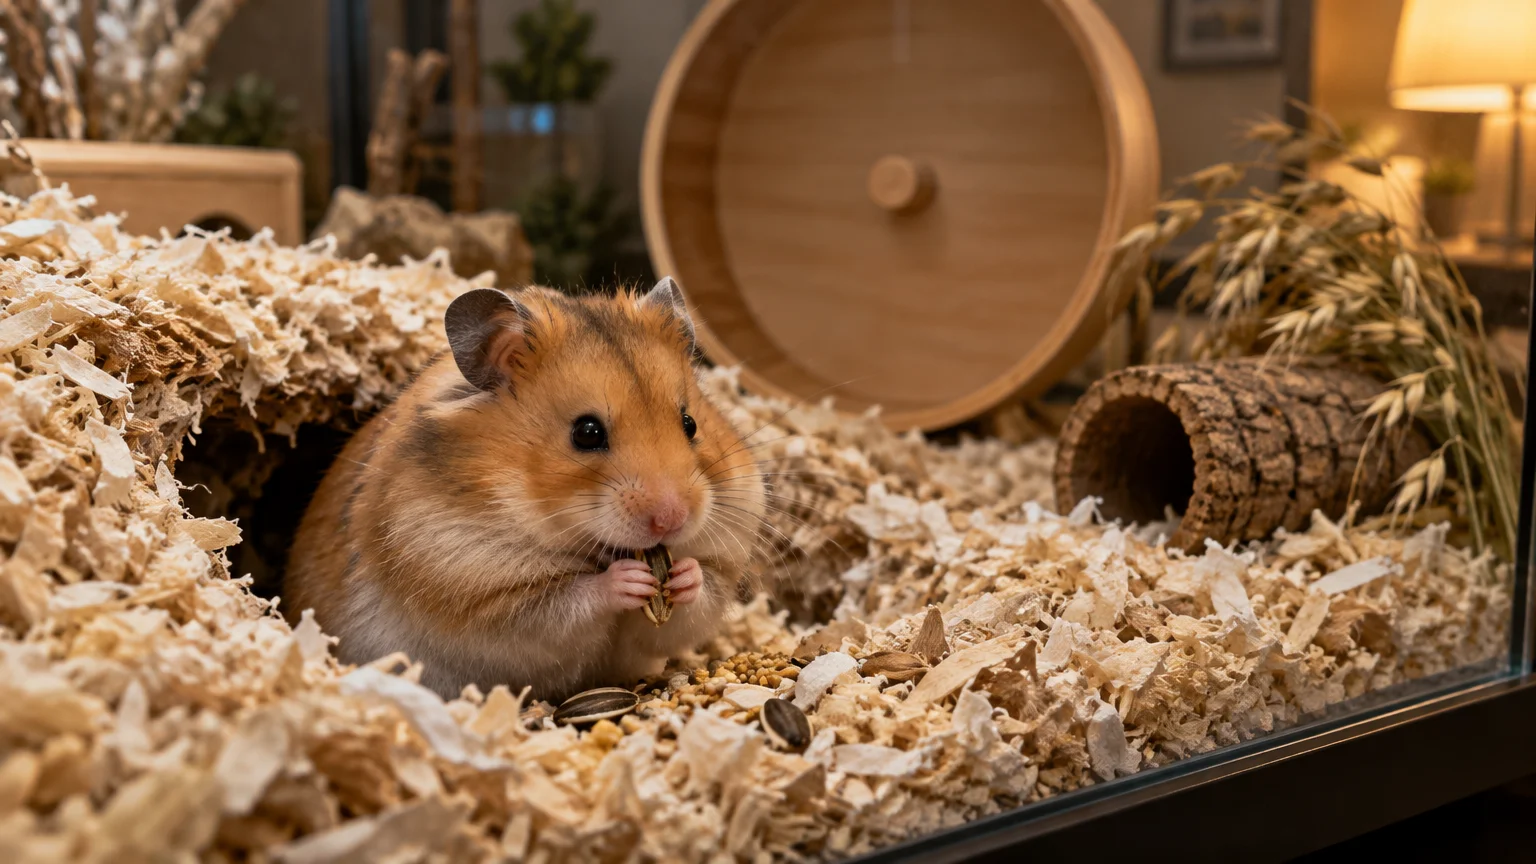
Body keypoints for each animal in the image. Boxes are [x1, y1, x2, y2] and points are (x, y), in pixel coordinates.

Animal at [283, 278, 767, 700]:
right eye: (586, 432)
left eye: (690, 423)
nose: (672, 519)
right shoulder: (481, 593)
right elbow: (568, 602)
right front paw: (628, 578)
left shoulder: (709, 583)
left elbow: (698, 598)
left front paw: (684, 574)